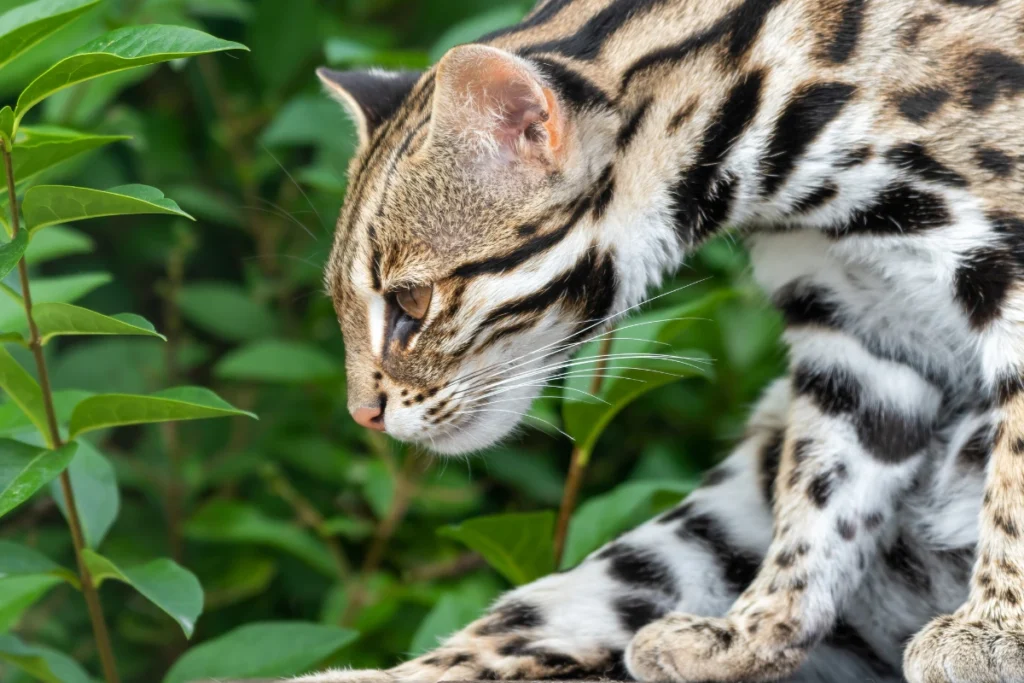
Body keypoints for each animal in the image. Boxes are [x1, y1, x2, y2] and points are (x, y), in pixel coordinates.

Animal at [301, 0, 1024, 679]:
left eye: (410, 302)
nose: (362, 415)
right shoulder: (855, 330)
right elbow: (823, 493)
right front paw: (752, 633)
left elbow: (1012, 464)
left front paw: (994, 630)